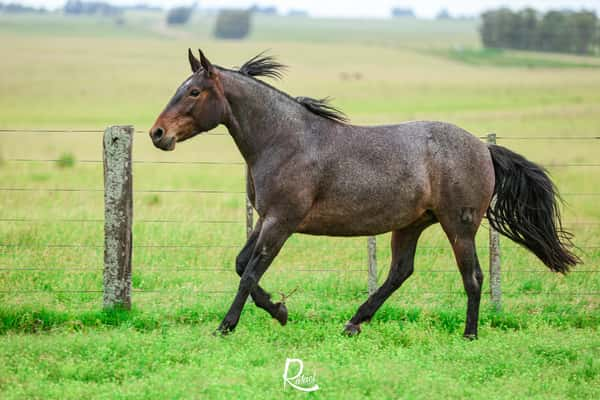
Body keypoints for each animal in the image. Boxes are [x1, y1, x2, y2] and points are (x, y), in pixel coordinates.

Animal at [148, 49, 580, 338]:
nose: (157, 134)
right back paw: (353, 323)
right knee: (400, 272)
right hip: (410, 225)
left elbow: (250, 271)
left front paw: (228, 325)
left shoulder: (281, 221)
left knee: (472, 276)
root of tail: (483, 148)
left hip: (459, 226)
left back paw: (469, 334)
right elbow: (242, 265)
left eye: (194, 92)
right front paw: (280, 310)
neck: (284, 141)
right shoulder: (268, 218)